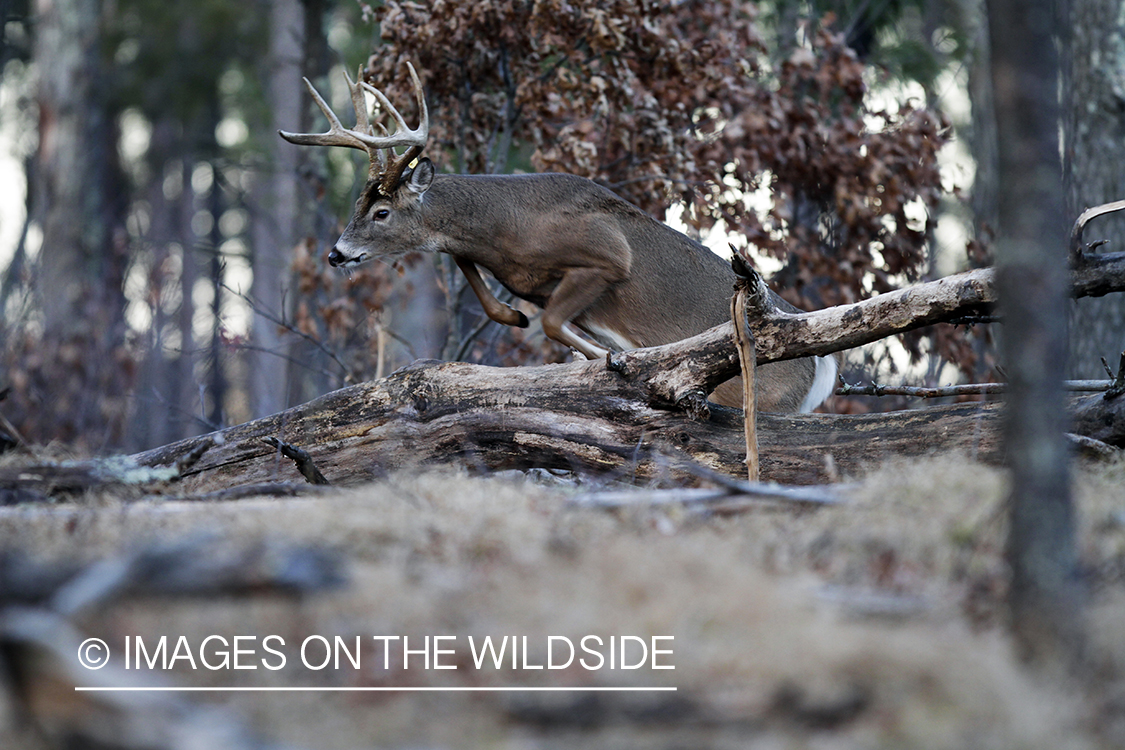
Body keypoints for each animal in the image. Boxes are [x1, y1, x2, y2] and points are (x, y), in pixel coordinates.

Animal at [281, 65, 841, 413]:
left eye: (381, 212)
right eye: (356, 207)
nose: (336, 253)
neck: (510, 224)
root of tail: (826, 366)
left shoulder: (607, 255)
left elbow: (553, 321)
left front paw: (609, 359)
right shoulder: (505, 267)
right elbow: (477, 276)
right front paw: (515, 317)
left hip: (763, 395)